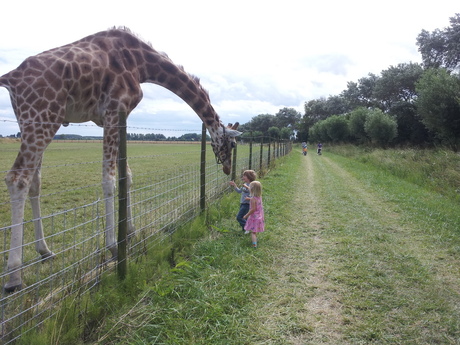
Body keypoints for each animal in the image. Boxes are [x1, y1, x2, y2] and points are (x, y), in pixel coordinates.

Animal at [0, 27, 243, 290]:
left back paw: (45, 251)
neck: (142, 63)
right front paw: (114, 248)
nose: (228, 168)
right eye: (231, 144)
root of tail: (10, 79)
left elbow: (126, 175)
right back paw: (14, 276)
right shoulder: (113, 109)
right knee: (18, 179)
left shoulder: (116, 116)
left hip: (31, 122)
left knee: (35, 181)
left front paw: (131, 232)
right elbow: (109, 179)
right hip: (42, 117)